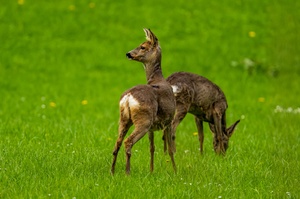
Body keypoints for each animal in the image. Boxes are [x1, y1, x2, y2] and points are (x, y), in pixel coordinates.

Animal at [110, 28, 176, 175]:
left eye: (143, 47)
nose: (128, 53)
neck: (158, 79)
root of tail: (128, 97)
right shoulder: (169, 120)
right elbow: (170, 149)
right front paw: (176, 171)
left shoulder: (153, 127)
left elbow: (152, 148)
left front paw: (151, 171)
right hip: (143, 119)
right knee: (127, 142)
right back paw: (127, 172)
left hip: (124, 119)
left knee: (117, 143)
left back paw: (112, 171)